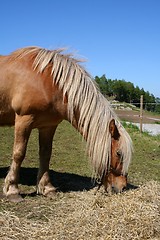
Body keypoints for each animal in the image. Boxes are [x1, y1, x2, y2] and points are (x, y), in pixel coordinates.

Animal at [0, 46, 132, 202]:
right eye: (118, 153)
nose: (122, 187)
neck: (48, 82)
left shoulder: (48, 126)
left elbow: (46, 154)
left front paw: (47, 188)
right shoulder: (23, 119)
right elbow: (19, 154)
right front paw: (12, 190)